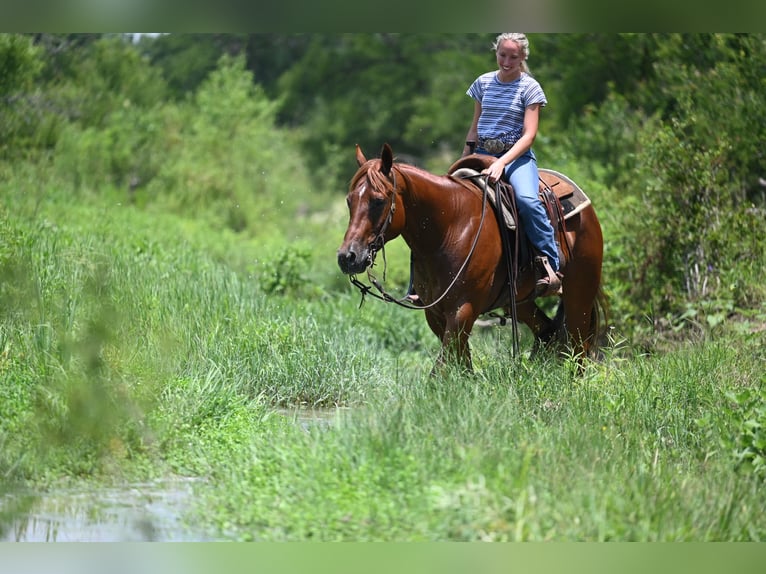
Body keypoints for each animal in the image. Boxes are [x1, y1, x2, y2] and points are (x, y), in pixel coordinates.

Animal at [337, 143, 608, 372]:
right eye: (349, 201)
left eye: (378, 201)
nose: (348, 257)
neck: (448, 229)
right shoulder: (436, 313)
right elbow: (460, 364)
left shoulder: (463, 309)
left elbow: (442, 368)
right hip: (519, 300)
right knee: (546, 330)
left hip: (579, 292)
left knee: (578, 344)